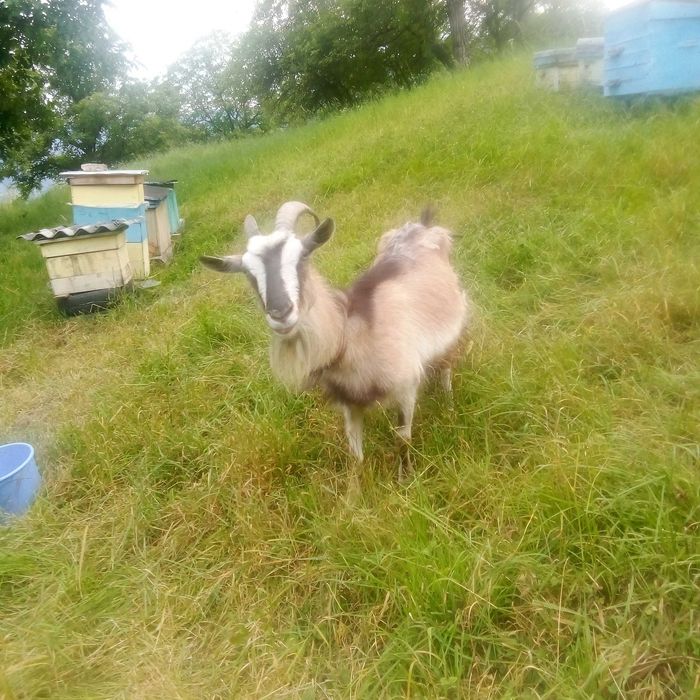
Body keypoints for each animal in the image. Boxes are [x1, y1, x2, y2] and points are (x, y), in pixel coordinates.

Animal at [201, 201, 470, 477]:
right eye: (247, 272)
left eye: (303, 256)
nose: (280, 313)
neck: (353, 336)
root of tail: (423, 226)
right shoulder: (349, 404)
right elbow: (355, 457)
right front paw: (357, 489)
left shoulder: (406, 387)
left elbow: (402, 441)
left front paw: (405, 479)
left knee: (447, 366)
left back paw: (449, 406)